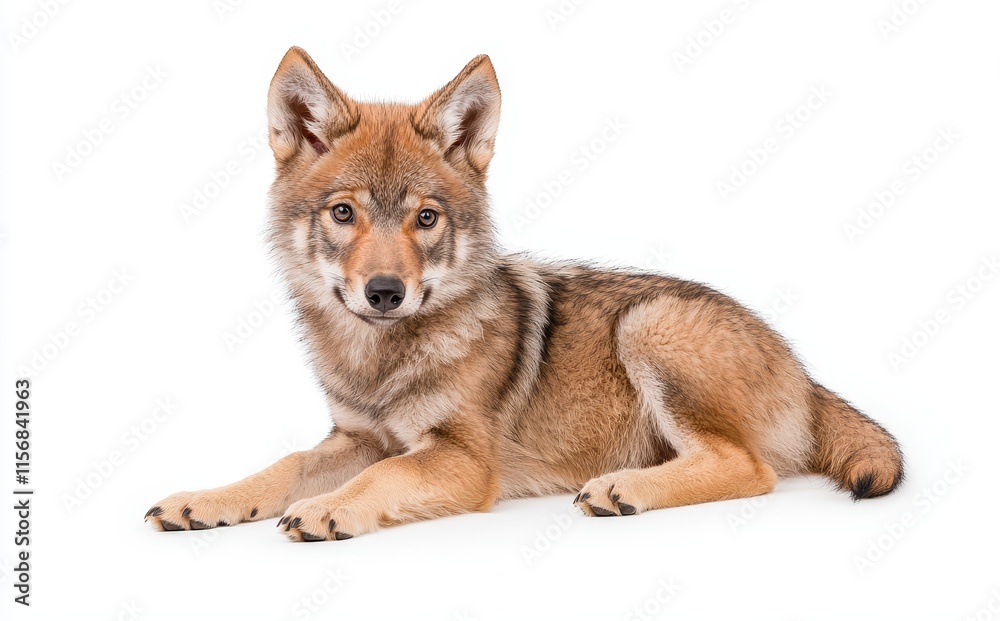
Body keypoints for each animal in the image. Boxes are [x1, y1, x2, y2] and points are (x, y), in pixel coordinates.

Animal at [145, 47, 903, 541]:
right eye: (343, 213)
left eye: (426, 218)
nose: (385, 291)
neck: (382, 357)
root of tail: (803, 373)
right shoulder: (354, 437)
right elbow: (280, 466)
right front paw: (205, 499)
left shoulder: (460, 458)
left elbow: (375, 481)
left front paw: (327, 509)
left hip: (649, 326)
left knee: (749, 467)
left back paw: (621, 489)